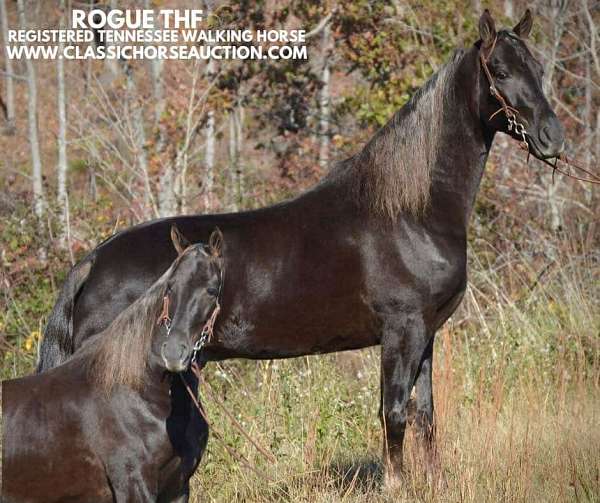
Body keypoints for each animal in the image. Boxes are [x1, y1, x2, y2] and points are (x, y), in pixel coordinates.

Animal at [2, 229, 223, 503]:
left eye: (212, 290)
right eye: (170, 287)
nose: (173, 352)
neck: (139, 393)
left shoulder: (178, 488)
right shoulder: (134, 486)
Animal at [36, 8, 564, 488]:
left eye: (538, 68)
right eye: (500, 72)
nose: (552, 137)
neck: (411, 212)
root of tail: (92, 262)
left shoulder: (427, 334)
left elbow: (425, 414)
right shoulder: (402, 331)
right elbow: (393, 413)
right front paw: (396, 485)